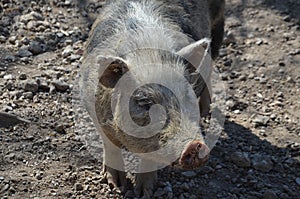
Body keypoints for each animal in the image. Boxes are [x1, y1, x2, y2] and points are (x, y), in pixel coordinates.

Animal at [79, 0, 225, 197]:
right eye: (144, 102)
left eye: (187, 96)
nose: (194, 145)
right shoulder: (92, 107)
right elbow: (110, 145)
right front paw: (116, 186)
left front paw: (144, 193)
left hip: (218, 25)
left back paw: (205, 111)